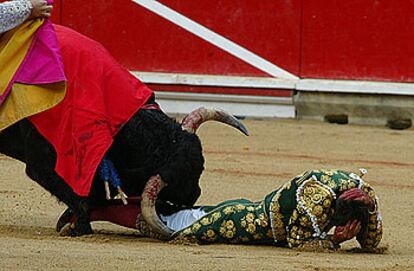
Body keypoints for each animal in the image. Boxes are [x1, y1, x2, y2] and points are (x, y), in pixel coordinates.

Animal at [0, 98, 246, 236]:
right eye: (175, 183)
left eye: (200, 168)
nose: (195, 195)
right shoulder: (42, 166)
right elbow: (81, 200)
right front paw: (78, 228)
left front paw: (67, 221)